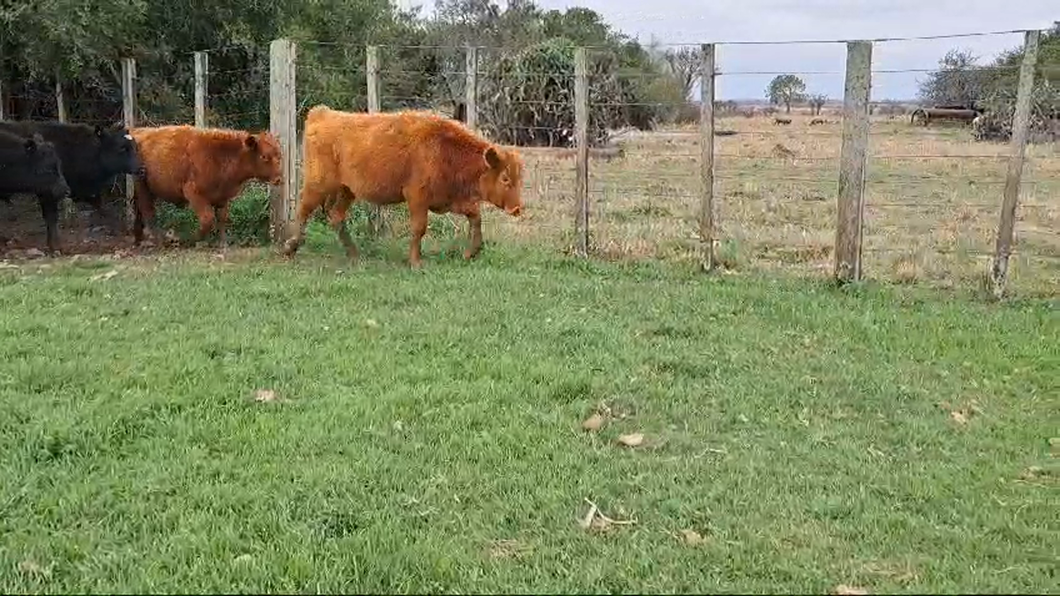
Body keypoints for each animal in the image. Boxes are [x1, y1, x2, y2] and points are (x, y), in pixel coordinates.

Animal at [0, 120, 142, 230]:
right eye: (122, 148)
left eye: (135, 146)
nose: (142, 168)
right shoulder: (49, 191)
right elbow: (51, 219)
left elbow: (102, 208)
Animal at [128, 124, 281, 247]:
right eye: (264, 156)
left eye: (279, 155)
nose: (278, 179)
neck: (220, 156)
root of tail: (138, 130)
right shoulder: (194, 193)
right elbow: (207, 219)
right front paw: (193, 240)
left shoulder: (222, 197)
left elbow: (222, 218)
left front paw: (222, 242)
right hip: (142, 186)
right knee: (148, 211)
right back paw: (157, 240)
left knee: (139, 209)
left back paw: (138, 238)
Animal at [286, 104, 525, 267]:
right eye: (505, 178)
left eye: (520, 177)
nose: (517, 209)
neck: (446, 149)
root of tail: (322, 114)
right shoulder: (417, 197)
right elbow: (419, 228)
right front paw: (415, 261)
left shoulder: (449, 200)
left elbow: (475, 217)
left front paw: (471, 253)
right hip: (318, 184)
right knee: (303, 209)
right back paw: (291, 247)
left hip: (347, 190)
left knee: (336, 216)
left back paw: (354, 254)